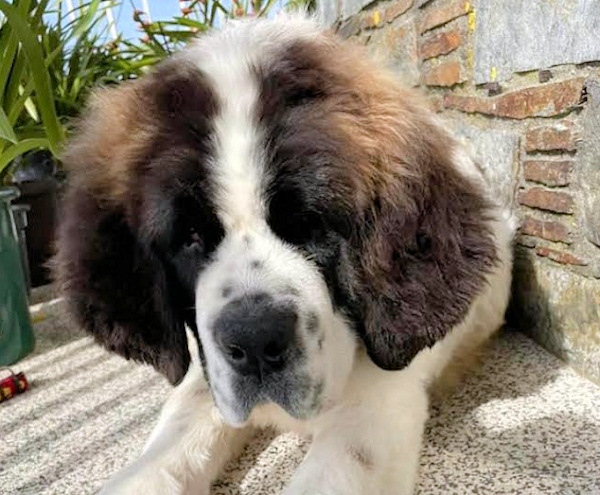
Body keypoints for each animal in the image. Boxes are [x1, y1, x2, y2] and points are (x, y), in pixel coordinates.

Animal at [55, 14, 514, 495]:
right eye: (192, 237)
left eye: (311, 224)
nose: (255, 341)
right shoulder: (206, 382)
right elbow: (162, 455)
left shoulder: (376, 412)